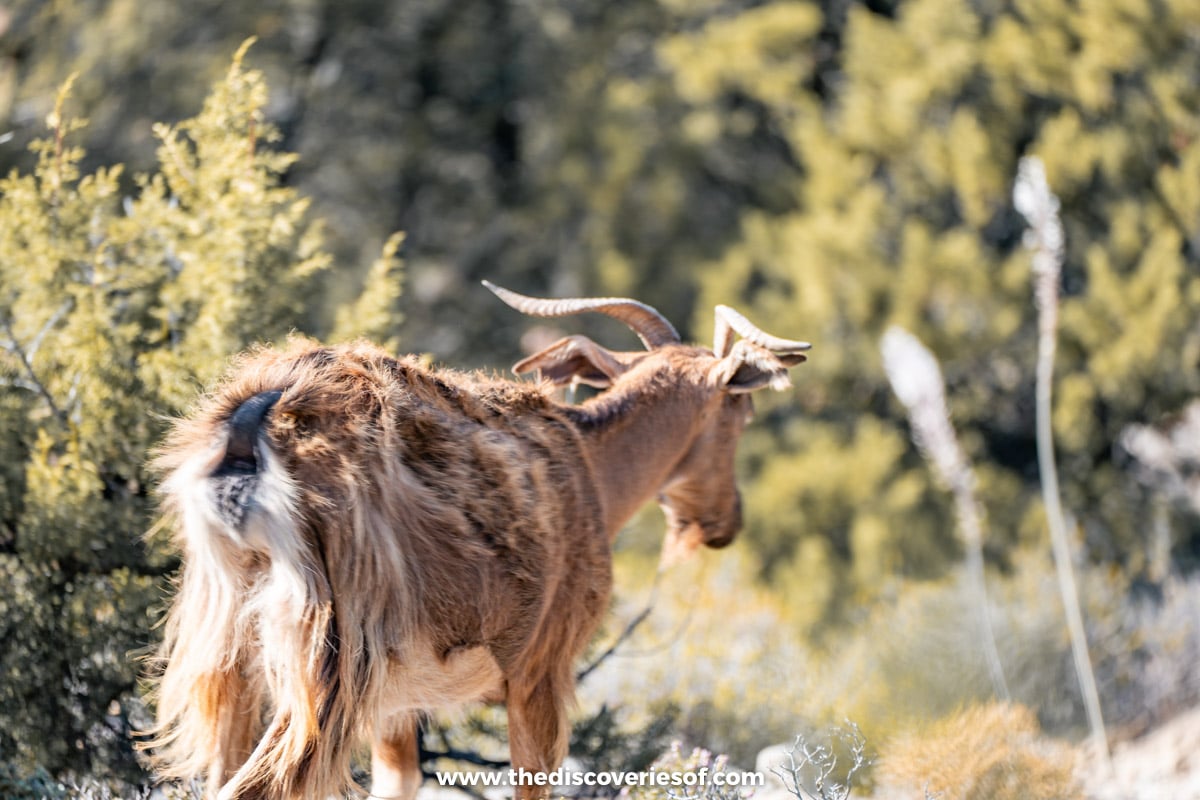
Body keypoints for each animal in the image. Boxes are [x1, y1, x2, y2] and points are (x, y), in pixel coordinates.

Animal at [146, 282, 809, 800]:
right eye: (741, 414)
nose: (727, 520)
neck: (593, 468)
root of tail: (253, 426)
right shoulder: (541, 671)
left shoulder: (399, 707)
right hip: (331, 663)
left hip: (227, 650)